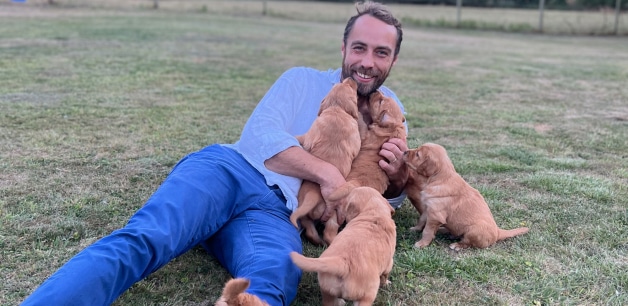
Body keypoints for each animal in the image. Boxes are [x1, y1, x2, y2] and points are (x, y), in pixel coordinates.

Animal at [290, 77, 360, 246]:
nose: (351, 78)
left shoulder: (311, 134)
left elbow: (303, 138)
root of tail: (313, 194)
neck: (336, 109)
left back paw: (317, 241)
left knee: (309, 230)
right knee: (329, 233)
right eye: (351, 86)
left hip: (305, 213)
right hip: (334, 214)